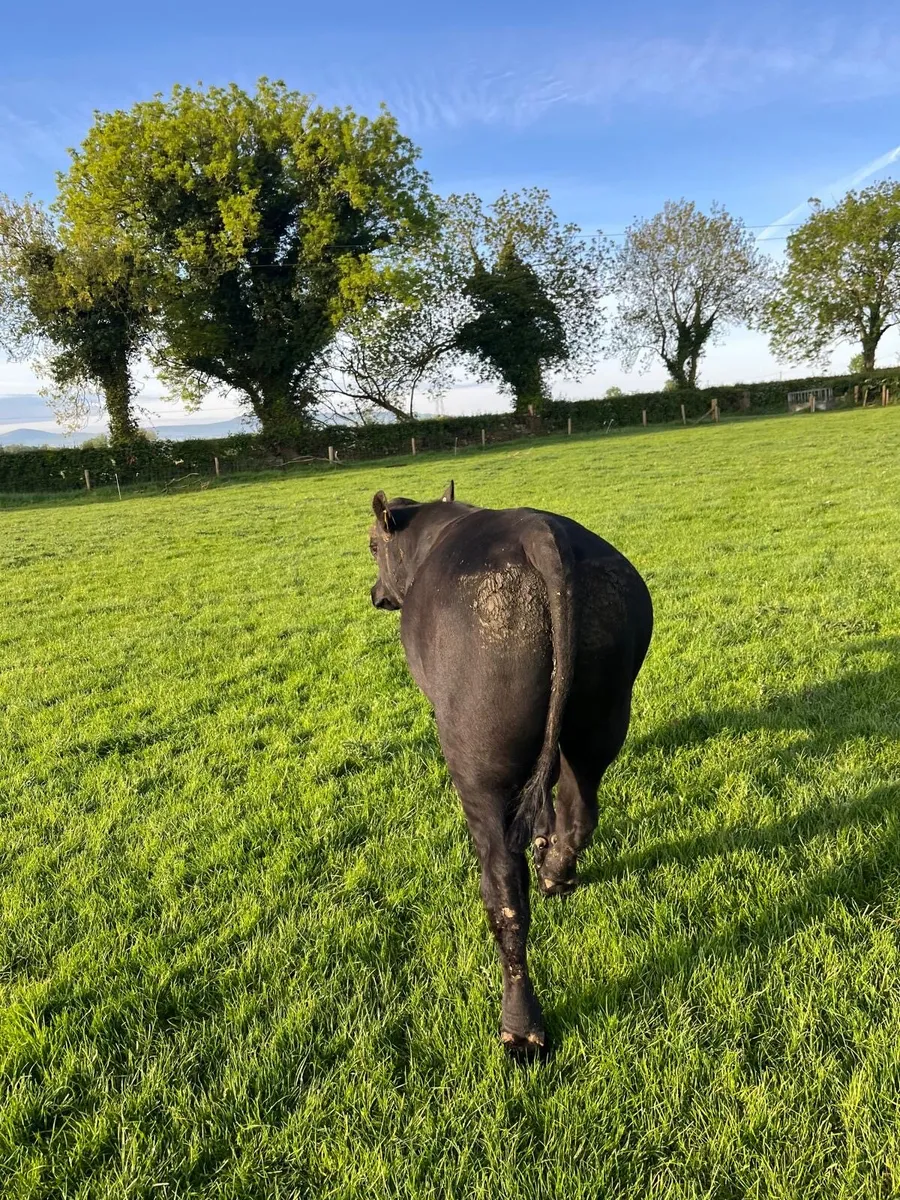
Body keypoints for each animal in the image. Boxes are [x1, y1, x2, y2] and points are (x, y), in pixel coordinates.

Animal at [368, 481, 653, 1059]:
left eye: (371, 547)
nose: (374, 593)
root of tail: (541, 534)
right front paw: (545, 842)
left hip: (481, 768)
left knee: (504, 890)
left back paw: (520, 1026)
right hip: (603, 717)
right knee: (579, 807)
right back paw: (555, 874)